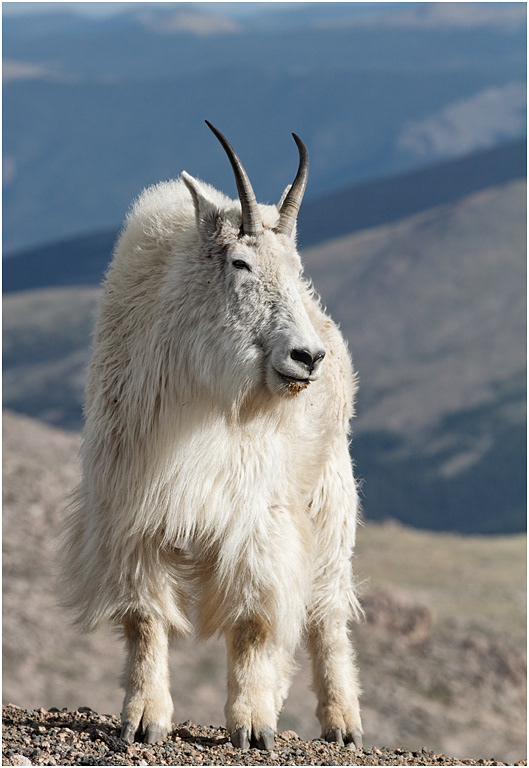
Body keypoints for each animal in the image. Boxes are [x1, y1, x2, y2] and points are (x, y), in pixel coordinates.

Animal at [60, 121, 363, 750]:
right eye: (241, 263)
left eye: (295, 265)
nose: (307, 358)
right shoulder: (134, 512)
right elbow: (144, 617)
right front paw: (144, 719)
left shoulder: (257, 517)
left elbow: (251, 623)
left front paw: (250, 726)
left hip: (331, 500)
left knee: (326, 613)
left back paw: (342, 723)